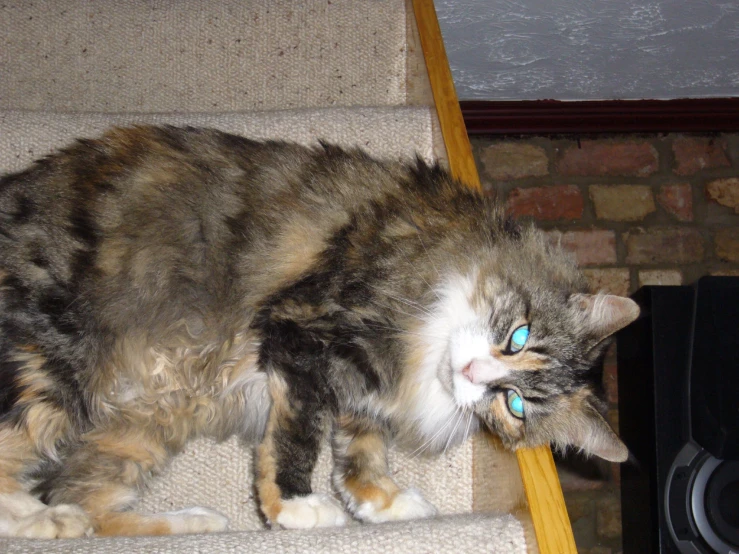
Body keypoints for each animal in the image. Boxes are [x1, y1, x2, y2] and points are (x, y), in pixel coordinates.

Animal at [0, 125, 636, 536]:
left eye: (515, 406)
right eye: (519, 337)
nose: (473, 374)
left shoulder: (363, 388)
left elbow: (361, 458)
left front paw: (385, 506)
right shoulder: (300, 331)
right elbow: (297, 438)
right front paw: (295, 508)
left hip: (141, 422)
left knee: (89, 501)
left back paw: (189, 524)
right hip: (49, 366)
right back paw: (50, 519)